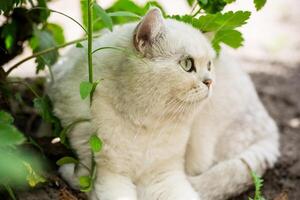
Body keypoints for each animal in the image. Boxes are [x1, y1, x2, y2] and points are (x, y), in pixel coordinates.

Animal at [48, 7, 280, 200]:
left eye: (209, 65)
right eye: (187, 64)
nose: (210, 82)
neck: (146, 126)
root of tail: (272, 129)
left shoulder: (164, 177)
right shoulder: (110, 177)